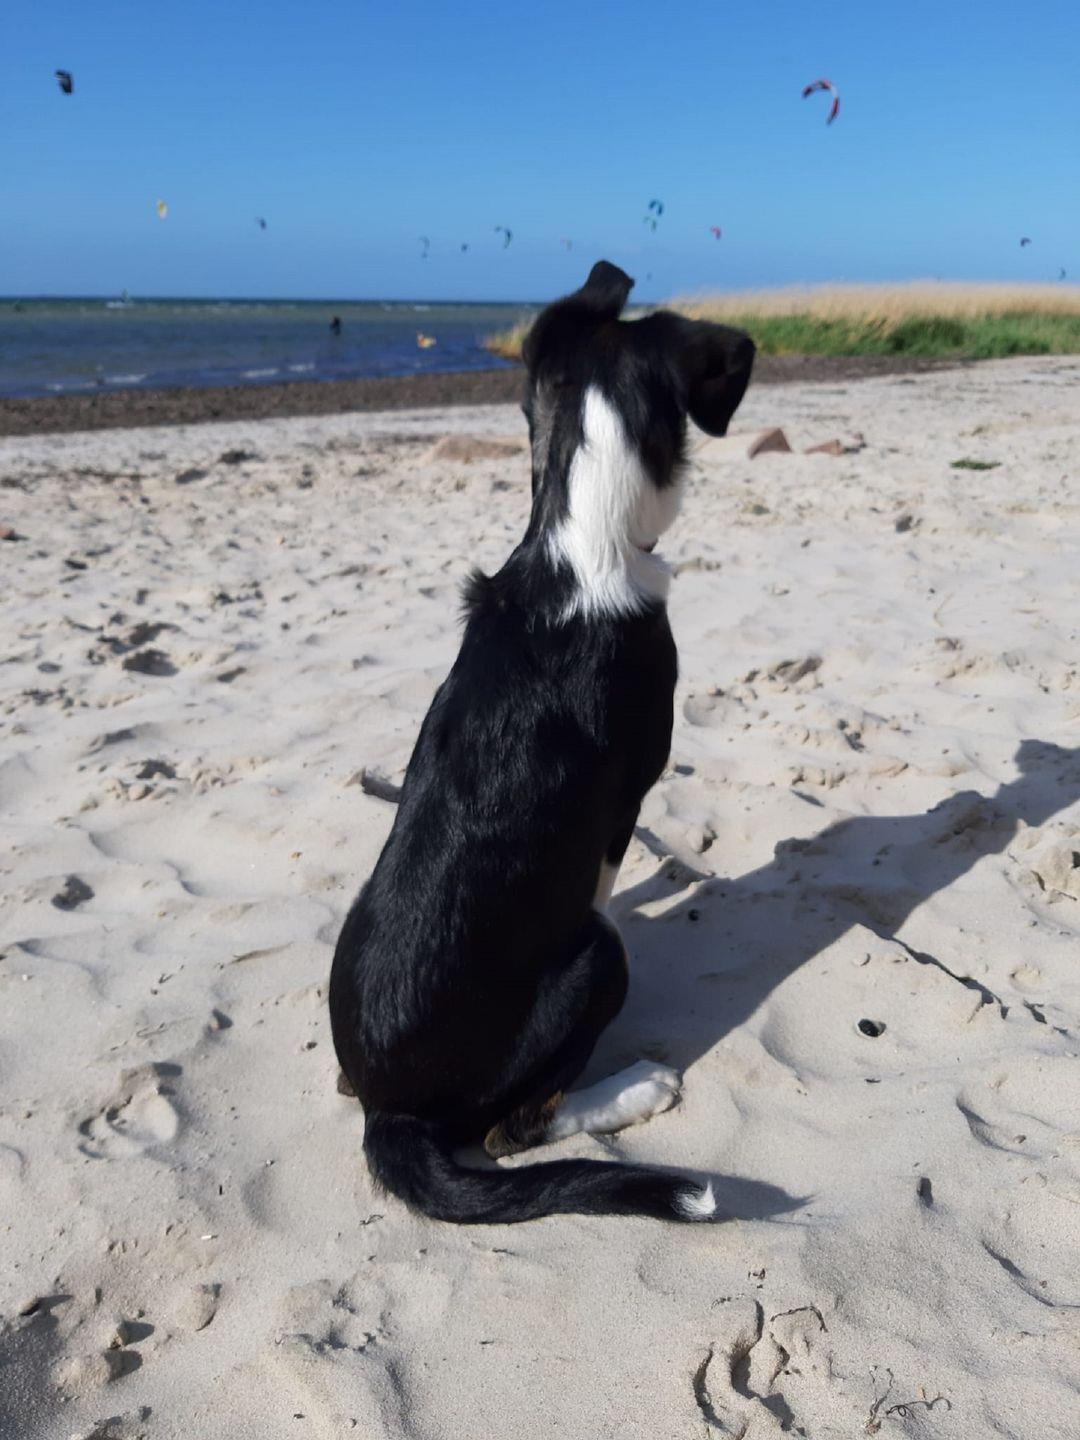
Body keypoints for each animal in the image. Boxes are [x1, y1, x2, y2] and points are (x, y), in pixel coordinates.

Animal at [329, 262, 754, 1223]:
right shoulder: (626, 798)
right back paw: (635, 1088)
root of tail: (387, 1115)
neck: (580, 536)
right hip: (596, 964)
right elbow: (604, 870)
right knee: (510, 1130)